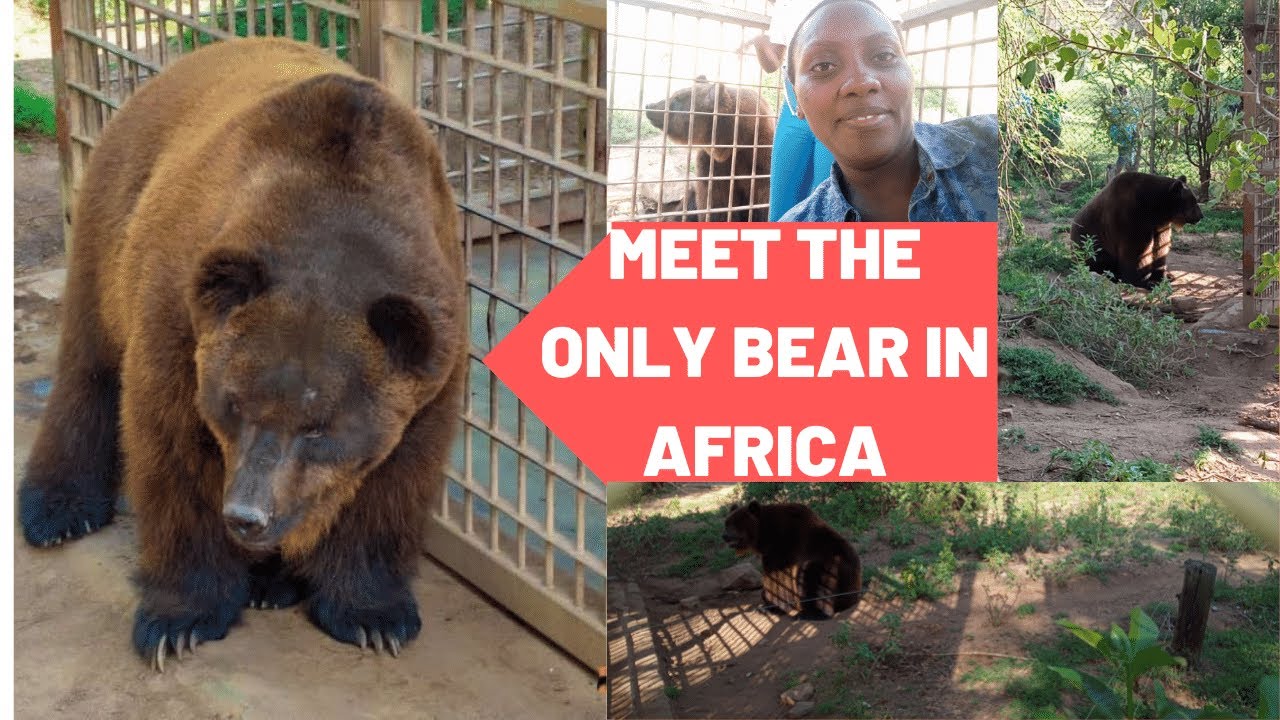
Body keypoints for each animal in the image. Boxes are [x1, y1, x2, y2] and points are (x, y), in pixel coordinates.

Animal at [17, 37, 467, 671]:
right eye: (234, 404)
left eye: (320, 426)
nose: (248, 515)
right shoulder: (180, 319)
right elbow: (174, 456)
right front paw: (178, 620)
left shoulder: (434, 360)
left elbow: (393, 480)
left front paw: (373, 615)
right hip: (113, 220)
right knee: (90, 363)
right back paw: (57, 509)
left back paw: (272, 584)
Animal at [644, 76, 775, 222]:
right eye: (674, 95)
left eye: (676, 99)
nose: (649, 106)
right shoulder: (712, 166)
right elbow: (716, 206)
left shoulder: (762, 166)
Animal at [722, 501, 861, 620]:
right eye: (726, 523)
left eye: (734, 524)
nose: (724, 536)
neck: (764, 534)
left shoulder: (781, 548)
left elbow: (777, 580)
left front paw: (769, 607)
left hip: (830, 567)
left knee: (810, 578)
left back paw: (809, 614)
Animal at [1070, 172, 1203, 289]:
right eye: (1193, 200)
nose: (1201, 216)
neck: (1155, 208)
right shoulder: (1132, 217)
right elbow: (1136, 250)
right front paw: (1144, 281)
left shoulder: (1160, 224)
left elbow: (1161, 246)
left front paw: (1162, 276)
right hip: (1091, 242)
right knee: (1099, 258)